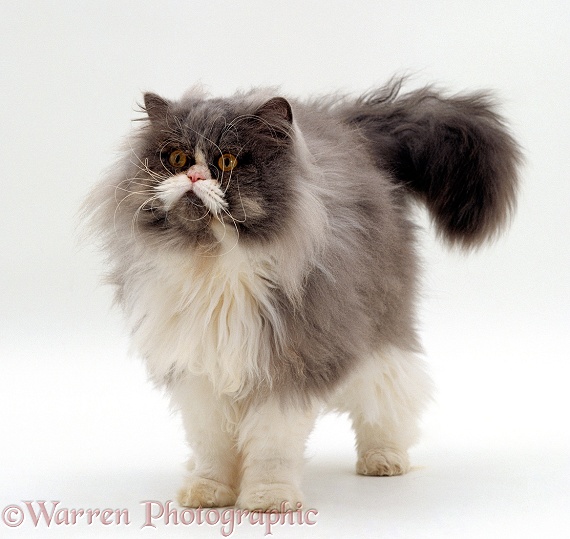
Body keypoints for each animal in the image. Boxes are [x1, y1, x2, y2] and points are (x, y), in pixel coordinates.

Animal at [84, 79, 520, 510]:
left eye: (228, 162)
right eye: (176, 158)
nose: (193, 178)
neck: (218, 260)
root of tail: (353, 133)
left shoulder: (288, 363)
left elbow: (270, 447)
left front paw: (268, 499)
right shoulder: (202, 371)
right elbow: (213, 446)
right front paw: (208, 491)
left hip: (382, 335)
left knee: (390, 402)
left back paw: (383, 461)